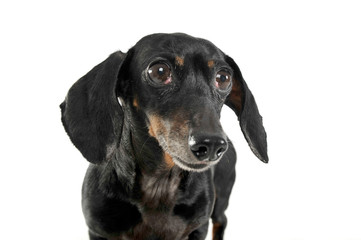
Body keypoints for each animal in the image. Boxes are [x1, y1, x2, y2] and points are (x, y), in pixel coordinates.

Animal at [59, 32, 268, 240]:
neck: (159, 185)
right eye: (159, 71)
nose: (212, 145)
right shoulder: (98, 231)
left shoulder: (198, 228)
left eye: (223, 77)